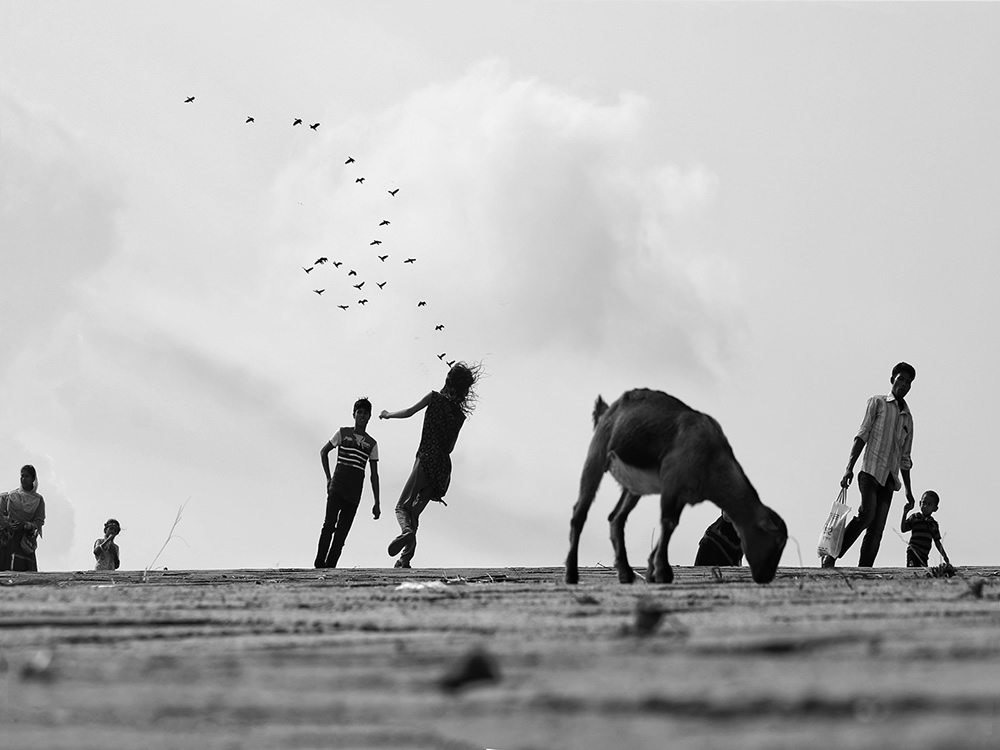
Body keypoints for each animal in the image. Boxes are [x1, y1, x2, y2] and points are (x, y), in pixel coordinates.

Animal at [568, 390, 784, 592]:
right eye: (776, 542)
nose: (765, 576)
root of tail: (607, 409)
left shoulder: (682, 495)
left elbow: (671, 524)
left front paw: (653, 571)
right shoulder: (672, 484)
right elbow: (668, 523)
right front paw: (662, 572)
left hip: (633, 486)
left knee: (616, 518)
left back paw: (626, 573)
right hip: (596, 456)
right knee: (580, 513)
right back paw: (571, 574)